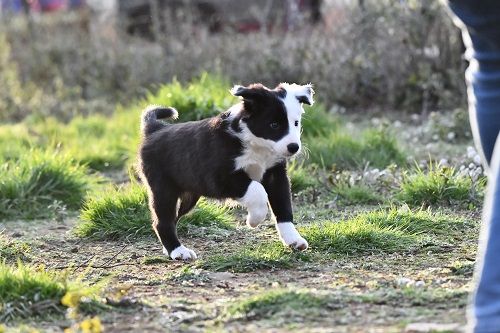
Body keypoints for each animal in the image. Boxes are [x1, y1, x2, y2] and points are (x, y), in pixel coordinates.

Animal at [138, 82, 312, 260]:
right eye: (274, 125)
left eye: (296, 123)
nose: (294, 147)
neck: (256, 146)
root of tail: (155, 129)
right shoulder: (220, 177)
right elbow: (257, 190)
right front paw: (254, 219)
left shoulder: (276, 175)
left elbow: (283, 208)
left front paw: (293, 240)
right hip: (163, 189)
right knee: (162, 221)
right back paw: (178, 251)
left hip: (189, 194)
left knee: (174, 218)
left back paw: (169, 249)